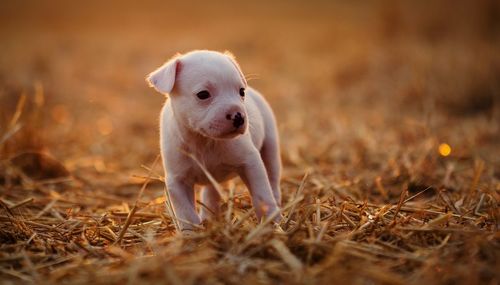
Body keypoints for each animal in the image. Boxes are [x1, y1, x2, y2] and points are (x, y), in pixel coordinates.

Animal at [146, 50, 284, 230]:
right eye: (203, 94)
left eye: (241, 92)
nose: (238, 116)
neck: (204, 141)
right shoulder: (177, 181)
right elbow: (186, 213)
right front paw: (192, 233)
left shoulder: (251, 162)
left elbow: (262, 195)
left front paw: (271, 223)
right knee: (210, 193)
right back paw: (209, 217)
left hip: (270, 148)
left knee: (272, 180)